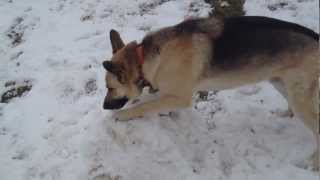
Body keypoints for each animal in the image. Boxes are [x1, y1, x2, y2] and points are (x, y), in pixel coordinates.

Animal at [104, 16, 318, 168]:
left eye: (110, 88)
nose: (104, 106)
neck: (143, 59)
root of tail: (316, 37)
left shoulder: (179, 97)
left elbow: (146, 105)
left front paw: (123, 115)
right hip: (283, 84)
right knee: (293, 108)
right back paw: (285, 114)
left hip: (300, 97)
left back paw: (312, 163)